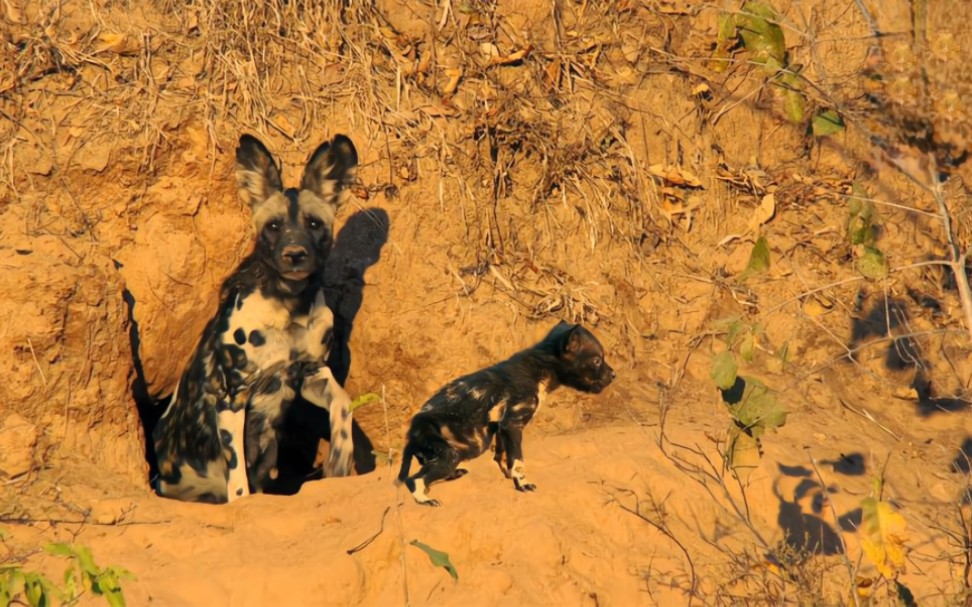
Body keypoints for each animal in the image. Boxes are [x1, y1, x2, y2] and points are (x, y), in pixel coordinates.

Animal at [154, 135, 358, 506]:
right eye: (274, 226)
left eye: (313, 223)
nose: (294, 255)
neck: (290, 305)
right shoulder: (232, 398)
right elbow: (239, 484)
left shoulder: (310, 374)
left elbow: (343, 402)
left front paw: (340, 457)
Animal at [396, 324, 612, 508]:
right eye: (597, 360)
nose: (614, 374)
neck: (541, 370)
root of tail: (412, 434)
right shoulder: (513, 425)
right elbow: (518, 462)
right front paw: (522, 484)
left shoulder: (501, 427)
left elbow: (503, 457)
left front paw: (509, 475)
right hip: (460, 450)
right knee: (414, 479)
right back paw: (425, 499)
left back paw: (453, 474)